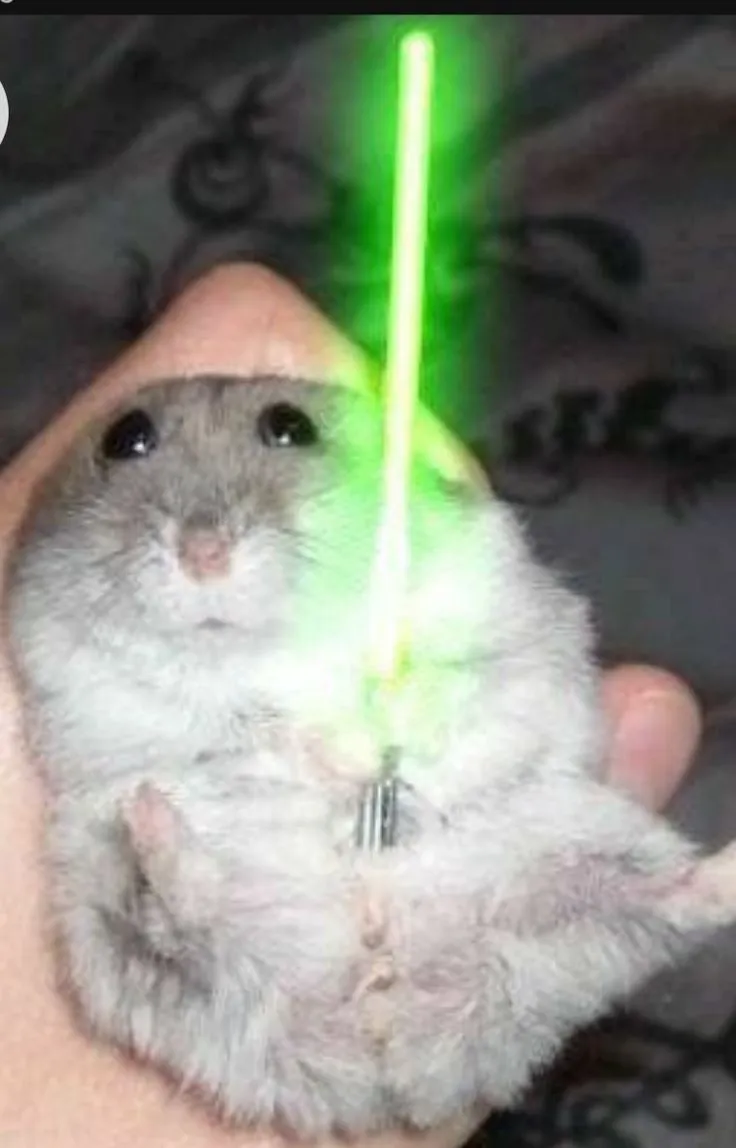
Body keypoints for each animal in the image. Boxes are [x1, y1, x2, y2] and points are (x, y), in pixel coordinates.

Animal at [6, 372, 736, 1140]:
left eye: (289, 427)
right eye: (127, 438)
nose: (205, 553)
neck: (265, 644)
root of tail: (382, 1058)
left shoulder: (498, 616)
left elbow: (447, 688)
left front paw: (375, 732)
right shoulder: (95, 688)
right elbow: (245, 732)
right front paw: (321, 752)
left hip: (576, 862)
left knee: (666, 906)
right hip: (121, 938)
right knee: (184, 928)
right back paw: (154, 827)